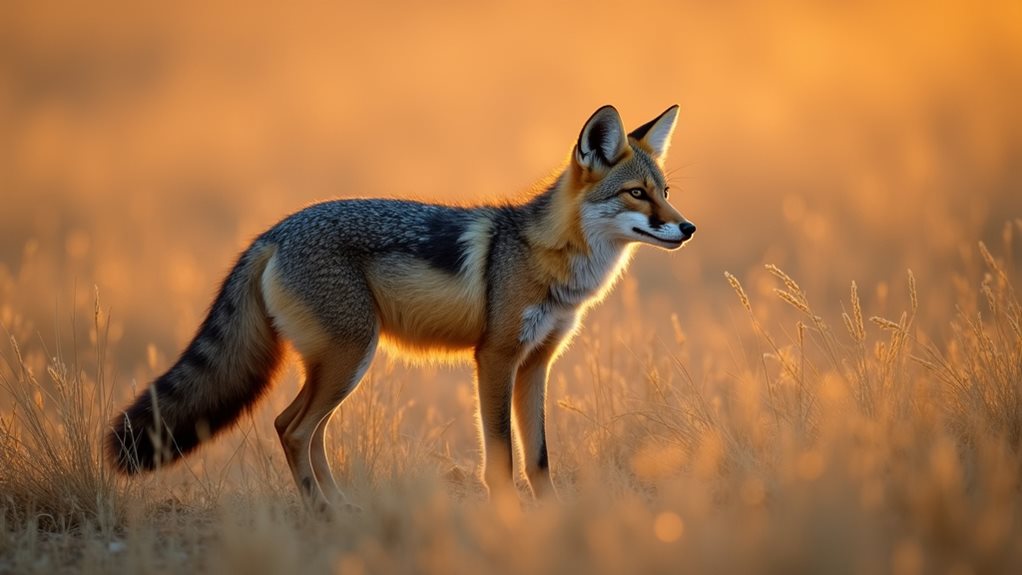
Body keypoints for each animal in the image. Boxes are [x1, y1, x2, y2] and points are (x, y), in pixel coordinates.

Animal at [106, 104, 696, 511]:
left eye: (665, 192)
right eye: (637, 194)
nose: (688, 228)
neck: (543, 255)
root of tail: (272, 233)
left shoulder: (536, 363)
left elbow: (539, 457)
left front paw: (552, 516)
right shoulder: (496, 358)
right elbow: (502, 455)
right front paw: (507, 514)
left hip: (341, 367)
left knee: (303, 430)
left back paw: (339, 505)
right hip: (350, 359)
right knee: (292, 428)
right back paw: (320, 511)